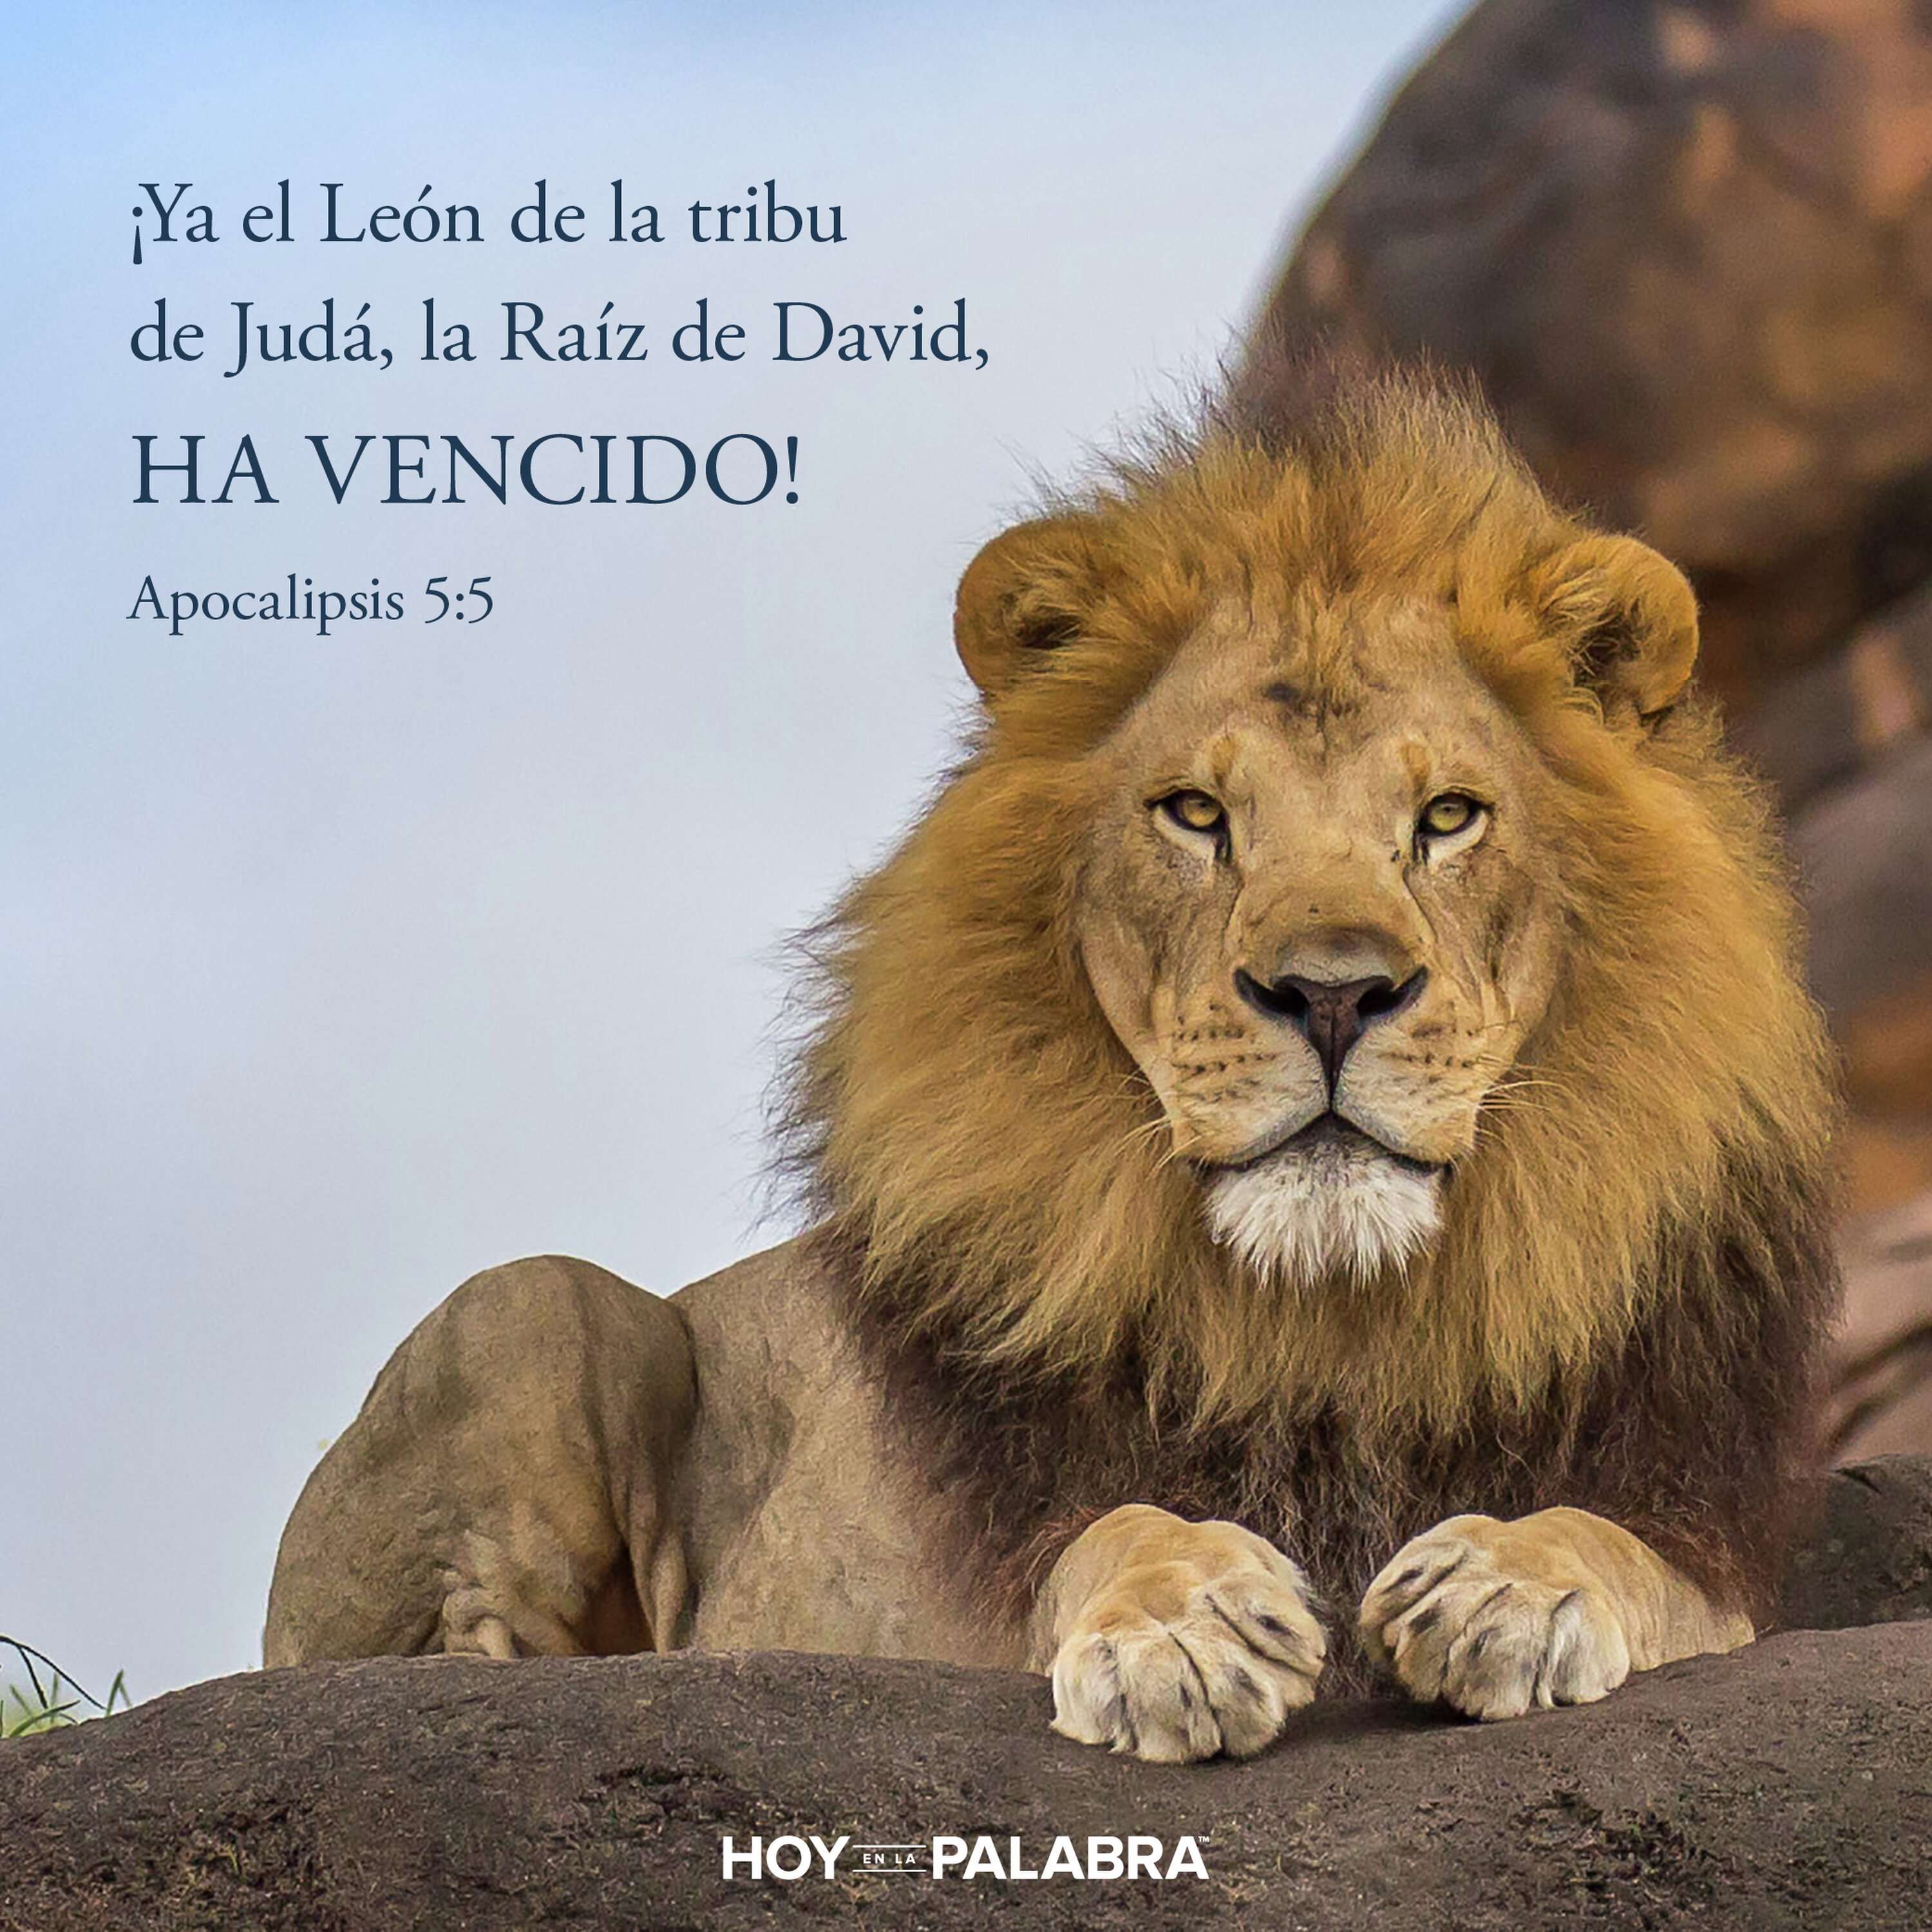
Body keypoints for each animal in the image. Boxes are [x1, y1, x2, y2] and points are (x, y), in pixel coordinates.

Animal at [265, 373, 1840, 1762]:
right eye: (1196, 814)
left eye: (1450, 817)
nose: (1332, 994)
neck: (1330, 1322)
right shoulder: (971, 1578)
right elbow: (1115, 1527)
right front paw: (1187, 1626)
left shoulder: (1704, 1531)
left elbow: (1624, 1548)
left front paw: (1508, 1583)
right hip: (533, 1309)